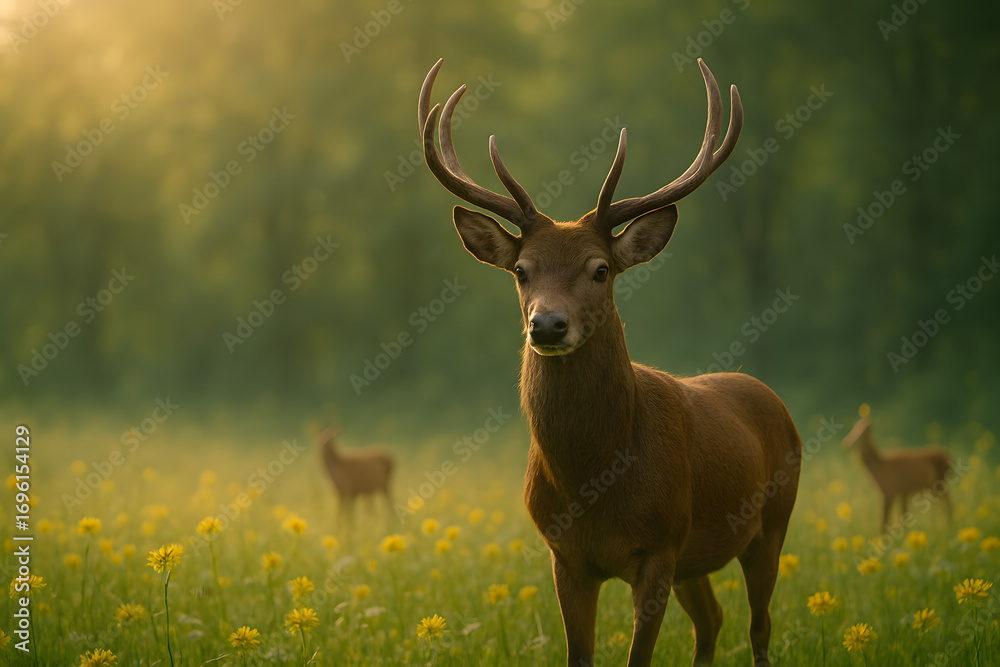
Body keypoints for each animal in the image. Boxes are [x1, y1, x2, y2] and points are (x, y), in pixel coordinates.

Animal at [418, 58, 802, 667]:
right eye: (522, 270)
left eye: (600, 269)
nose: (548, 325)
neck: (594, 481)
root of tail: (774, 400)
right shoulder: (565, 556)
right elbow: (579, 653)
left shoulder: (661, 545)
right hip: (697, 558)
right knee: (712, 620)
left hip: (771, 523)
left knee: (759, 627)